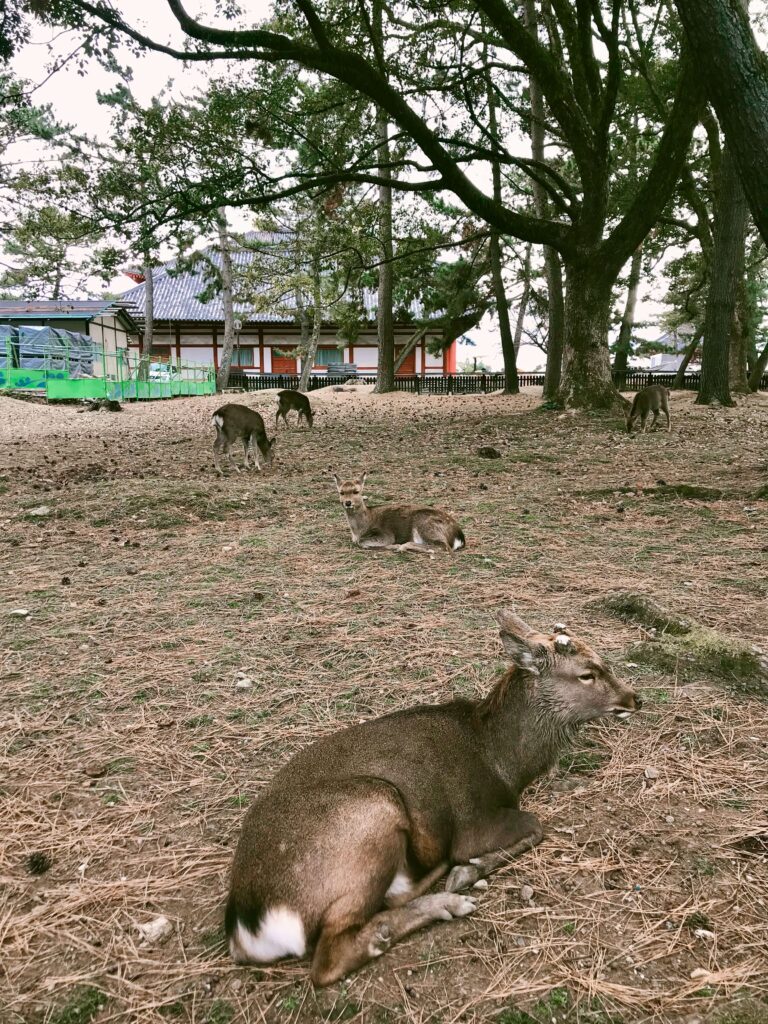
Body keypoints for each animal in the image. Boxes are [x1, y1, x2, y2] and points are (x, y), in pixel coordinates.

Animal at [225, 610, 642, 986]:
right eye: (587, 673)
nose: (635, 698)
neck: (504, 763)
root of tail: (246, 925)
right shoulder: (474, 821)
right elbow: (534, 826)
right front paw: (466, 871)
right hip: (373, 808)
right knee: (330, 959)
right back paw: (447, 901)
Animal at [331, 471, 465, 555]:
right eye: (341, 492)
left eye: (356, 491)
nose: (348, 502)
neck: (359, 530)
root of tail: (459, 536)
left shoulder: (385, 534)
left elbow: (362, 543)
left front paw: (394, 546)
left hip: (426, 524)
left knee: (443, 546)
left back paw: (402, 547)